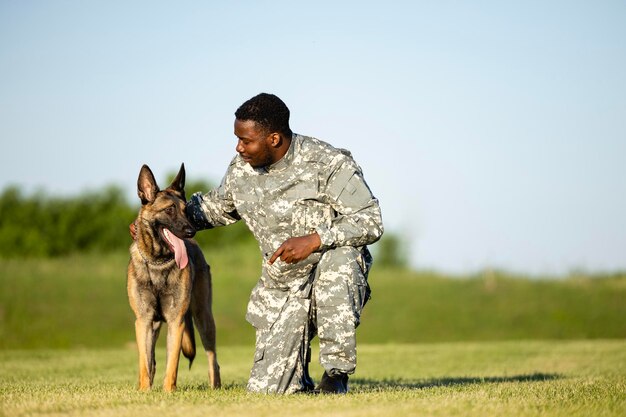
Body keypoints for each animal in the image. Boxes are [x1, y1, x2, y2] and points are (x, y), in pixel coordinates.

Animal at [126, 162, 219, 390]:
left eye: (187, 211)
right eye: (169, 210)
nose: (191, 231)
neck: (158, 263)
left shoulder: (176, 322)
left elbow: (172, 365)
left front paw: (169, 391)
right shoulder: (144, 321)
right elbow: (145, 363)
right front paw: (145, 391)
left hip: (204, 318)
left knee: (213, 360)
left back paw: (215, 387)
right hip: (156, 325)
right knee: (151, 361)